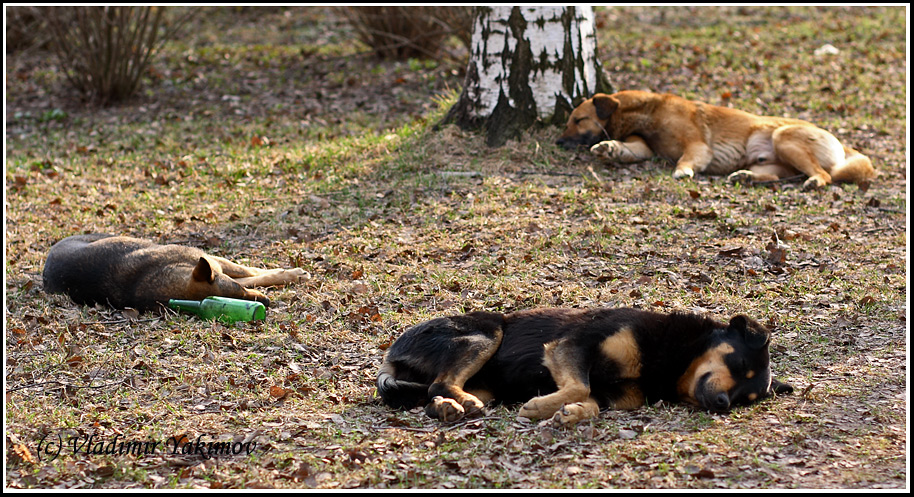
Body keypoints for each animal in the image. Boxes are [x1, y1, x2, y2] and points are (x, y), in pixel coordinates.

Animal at [41, 234, 306, 312]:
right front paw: (292, 273)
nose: (267, 303)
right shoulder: (214, 263)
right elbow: (255, 273)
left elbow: (252, 274)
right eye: (235, 298)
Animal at [376, 306, 792, 422]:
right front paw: (540, 406)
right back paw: (459, 403)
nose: (722, 405)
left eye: (745, 399)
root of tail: (391, 354)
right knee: (439, 383)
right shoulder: (573, 345)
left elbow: (590, 399)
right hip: (485, 333)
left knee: (432, 394)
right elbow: (580, 384)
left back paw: (448, 407)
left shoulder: (615, 394)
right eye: (737, 362)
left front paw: (571, 414)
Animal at [552, 89, 872, 190]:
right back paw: (746, 178)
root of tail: (842, 143)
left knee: (824, 175)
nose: (558, 142)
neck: (647, 112)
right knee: (780, 176)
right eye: (568, 122)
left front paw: (682, 171)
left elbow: (686, 159)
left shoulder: (697, 146)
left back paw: (815, 181)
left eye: (578, 120)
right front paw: (609, 147)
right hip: (768, 162)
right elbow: (628, 149)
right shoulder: (643, 145)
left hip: (784, 138)